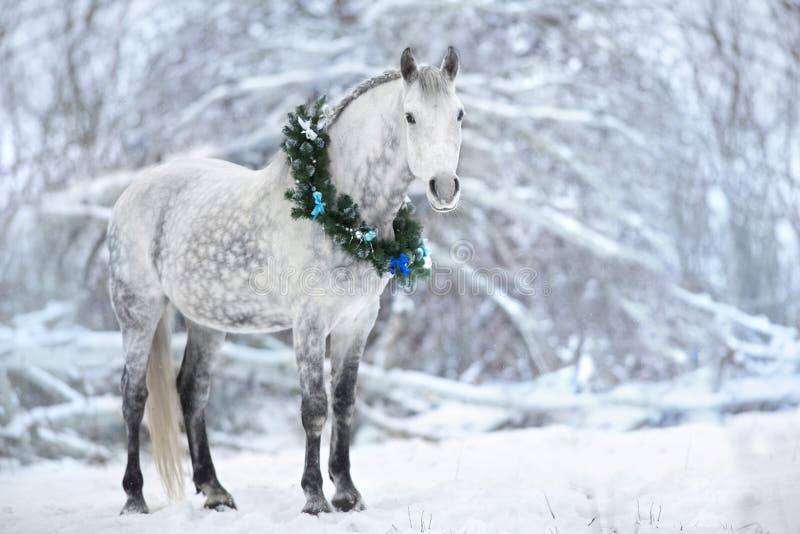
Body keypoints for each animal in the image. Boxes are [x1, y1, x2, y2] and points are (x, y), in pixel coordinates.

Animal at [109, 48, 466, 516]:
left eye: (459, 114)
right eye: (410, 116)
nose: (444, 188)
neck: (338, 210)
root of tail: (132, 190)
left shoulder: (358, 322)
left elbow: (344, 402)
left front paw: (347, 493)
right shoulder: (310, 323)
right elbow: (314, 407)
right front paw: (314, 497)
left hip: (207, 321)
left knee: (192, 391)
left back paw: (214, 490)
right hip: (139, 312)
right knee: (134, 396)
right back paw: (134, 497)